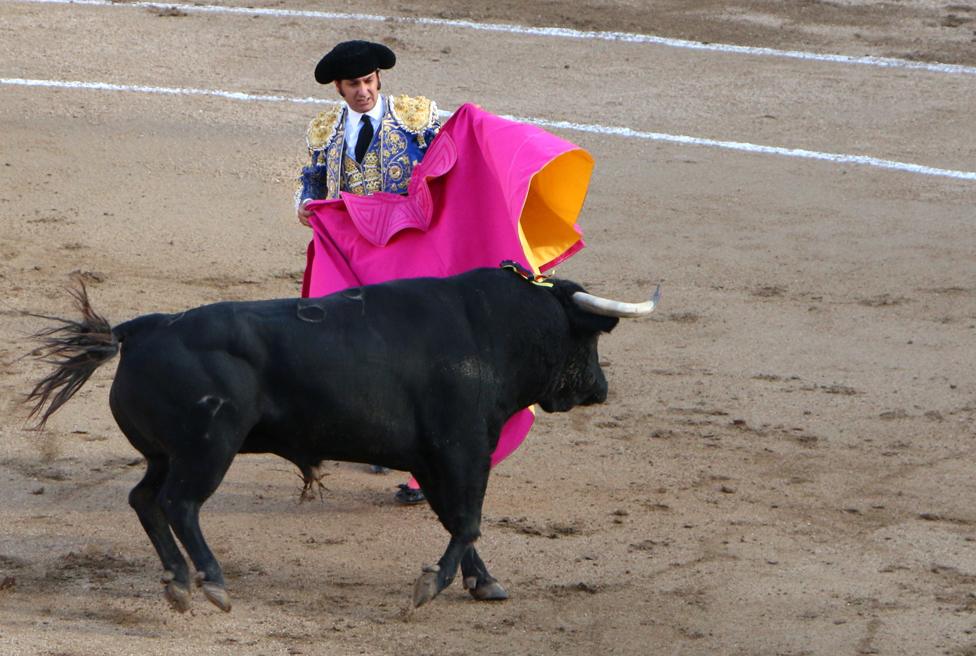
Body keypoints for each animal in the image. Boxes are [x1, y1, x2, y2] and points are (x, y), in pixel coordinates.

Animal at [26, 266, 660, 608]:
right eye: (588, 336)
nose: (600, 389)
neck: (494, 329)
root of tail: (141, 328)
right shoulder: (462, 447)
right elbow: (469, 519)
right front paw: (431, 586)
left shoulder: (429, 458)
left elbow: (456, 519)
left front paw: (485, 584)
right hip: (207, 450)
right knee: (179, 505)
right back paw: (212, 581)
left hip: (166, 453)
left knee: (145, 500)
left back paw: (178, 581)